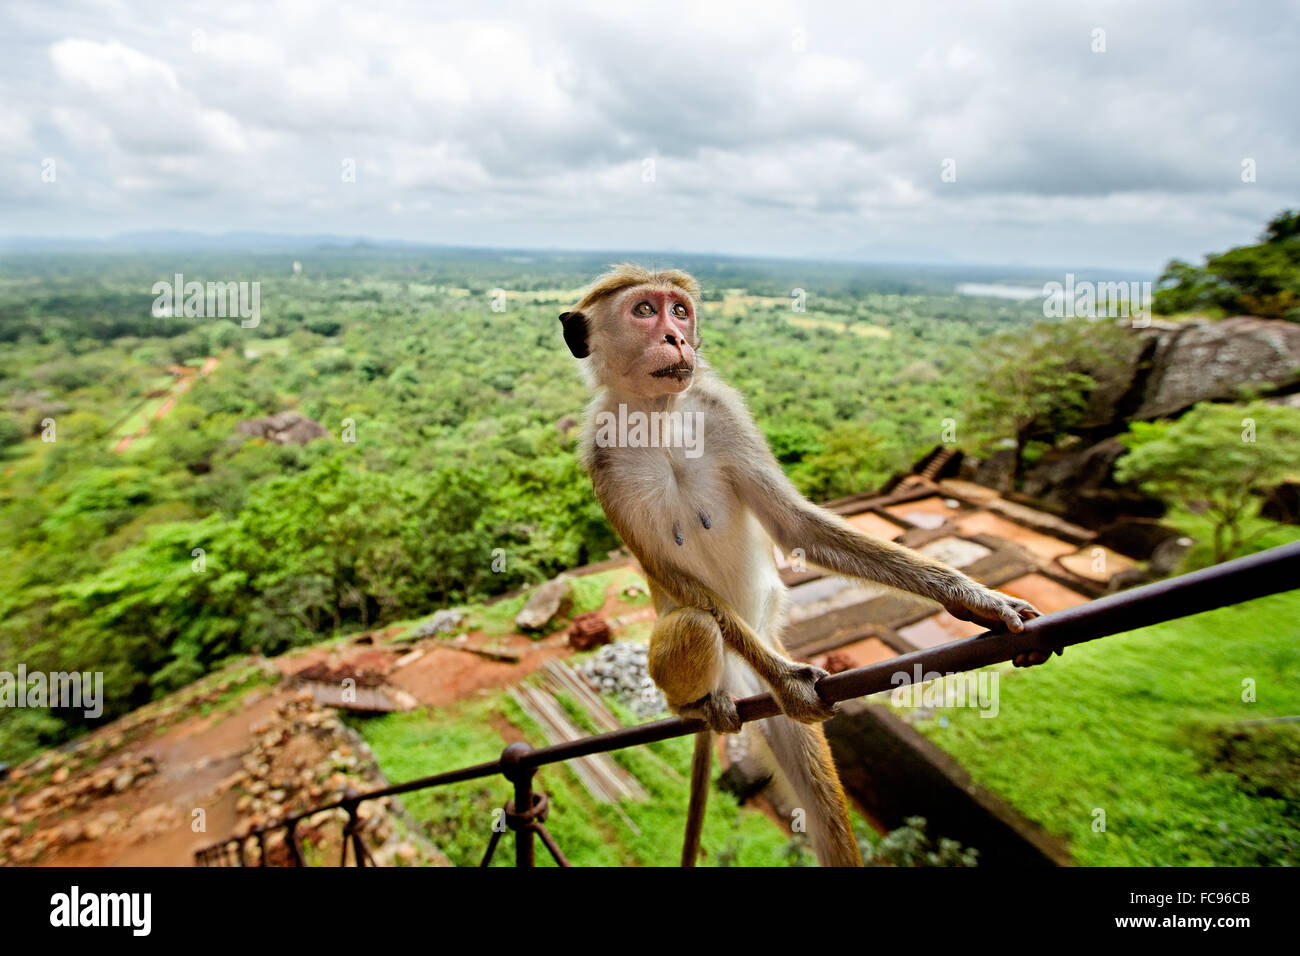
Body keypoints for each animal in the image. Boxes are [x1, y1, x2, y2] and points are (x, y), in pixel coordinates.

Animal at [560, 264, 1048, 867]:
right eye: (644, 311)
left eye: (679, 311)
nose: (676, 337)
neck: (658, 415)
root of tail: (739, 679)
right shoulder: (599, 455)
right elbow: (674, 577)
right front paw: (791, 680)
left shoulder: (724, 412)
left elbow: (795, 527)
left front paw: (973, 598)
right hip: (724, 673)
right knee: (696, 623)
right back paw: (696, 702)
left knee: (823, 810)